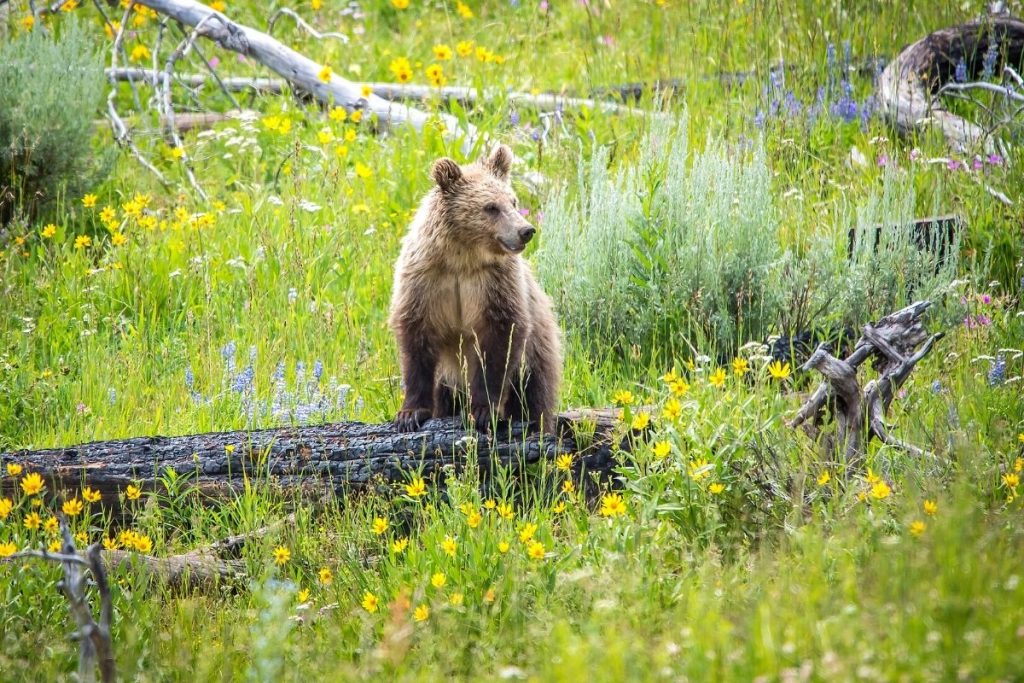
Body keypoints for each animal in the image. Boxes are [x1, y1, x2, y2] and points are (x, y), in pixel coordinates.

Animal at [387, 145, 565, 436]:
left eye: (512, 201)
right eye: (491, 207)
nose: (525, 230)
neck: (463, 258)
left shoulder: (494, 284)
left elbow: (500, 340)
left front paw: (483, 411)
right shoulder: (425, 280)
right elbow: (415, 340)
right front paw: (410, 413)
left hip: (538, 351)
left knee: (533, 395)